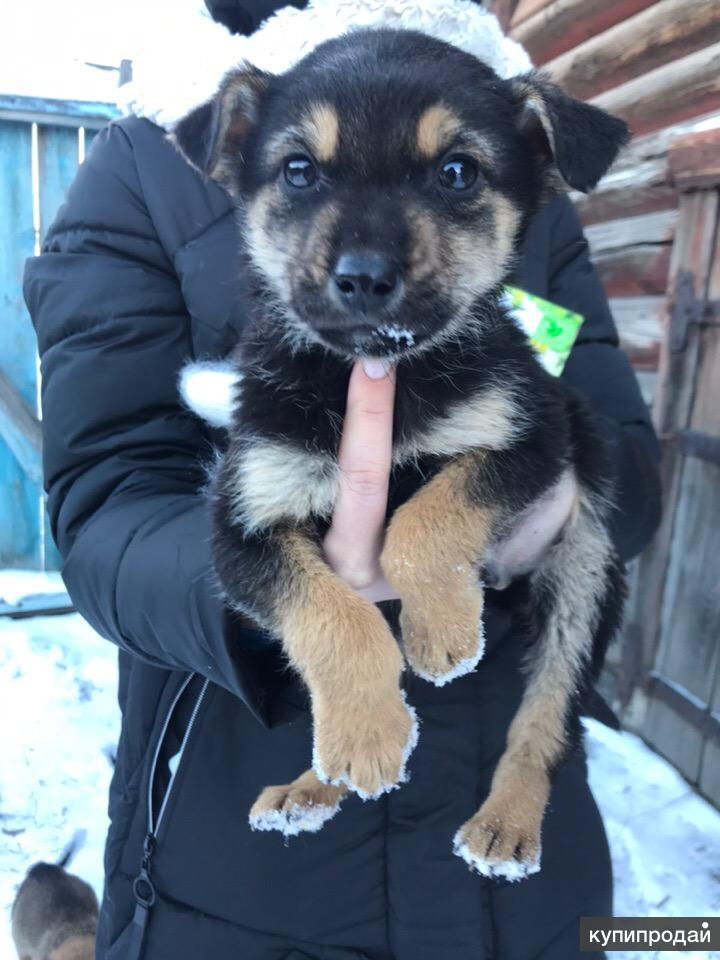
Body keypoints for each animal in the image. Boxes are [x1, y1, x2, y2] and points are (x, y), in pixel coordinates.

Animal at [172, 26, 628, 880]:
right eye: (298, 170)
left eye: (458, 172)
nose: (364, 279)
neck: (380, 369)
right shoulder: (244, 524)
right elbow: (330, 615)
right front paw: (368, 736)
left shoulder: (533, 438)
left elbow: (426, 519)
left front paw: (443, 629)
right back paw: (316, 782)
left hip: (585, 567)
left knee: (546, 717)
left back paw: (506, 823)